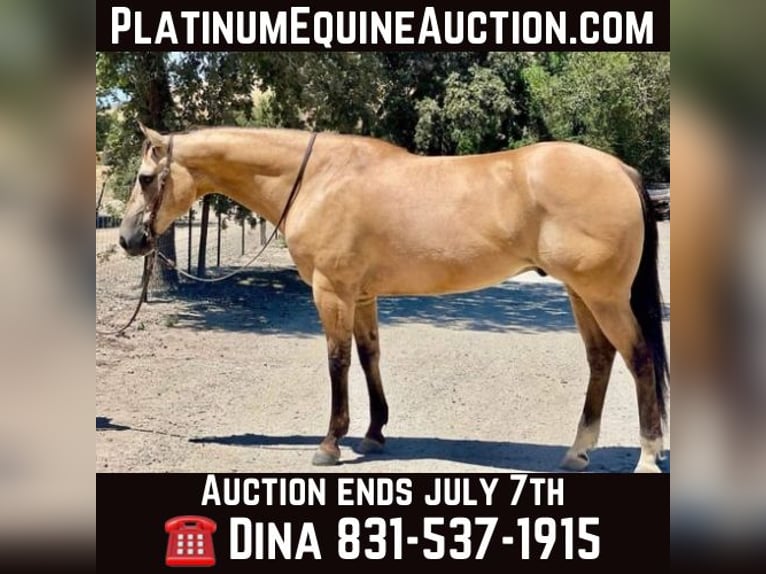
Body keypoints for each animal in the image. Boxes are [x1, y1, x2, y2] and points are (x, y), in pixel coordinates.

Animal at [118, 124, 669, 473]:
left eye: (145, 178)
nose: (127, 240)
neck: (318, 179)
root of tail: (621, 170)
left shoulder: (332, 291)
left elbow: (338, 360)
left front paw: (330, 443)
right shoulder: (362, 296)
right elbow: (369, 357)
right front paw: (374, 433)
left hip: (603, 296)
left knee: (638, 358)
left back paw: (646, 455)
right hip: (581, 293)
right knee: (601, 359)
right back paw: (578, 452)